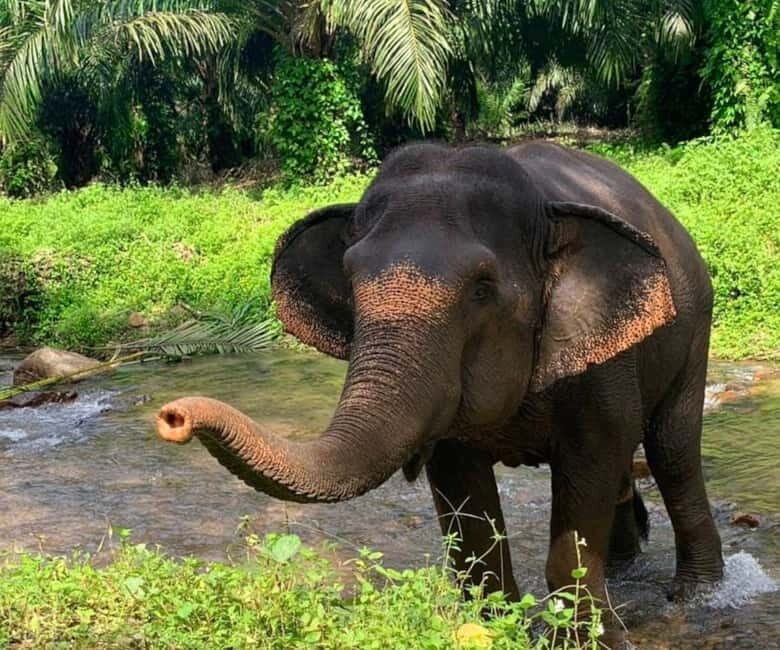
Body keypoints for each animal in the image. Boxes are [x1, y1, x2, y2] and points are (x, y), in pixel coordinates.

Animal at [156, 141, 723, 628]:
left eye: (481, 288)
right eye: (349, 277)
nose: (172, 417)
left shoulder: (601, 361)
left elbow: (593, 459)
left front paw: (589, 635)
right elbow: (463, 496)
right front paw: (502, 629)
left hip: (696, 324)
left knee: (673, 453)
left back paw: (697, 594)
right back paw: (627, 564)